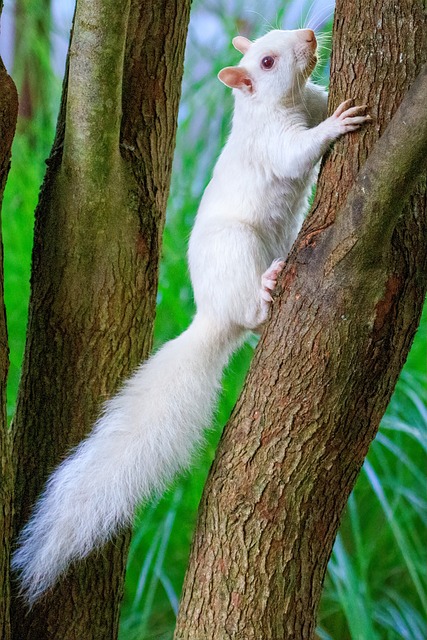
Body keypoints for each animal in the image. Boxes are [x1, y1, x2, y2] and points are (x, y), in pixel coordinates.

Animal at [11, 27, 370, 604]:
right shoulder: (271, 143)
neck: (276, 105)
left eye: (277, 37)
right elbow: (296, 154)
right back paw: (265, 291)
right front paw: (338, 125)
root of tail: (213, 318)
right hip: (238, 252)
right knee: (251, 313)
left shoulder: (306, 101)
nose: (310, 35)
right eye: (266, 62)